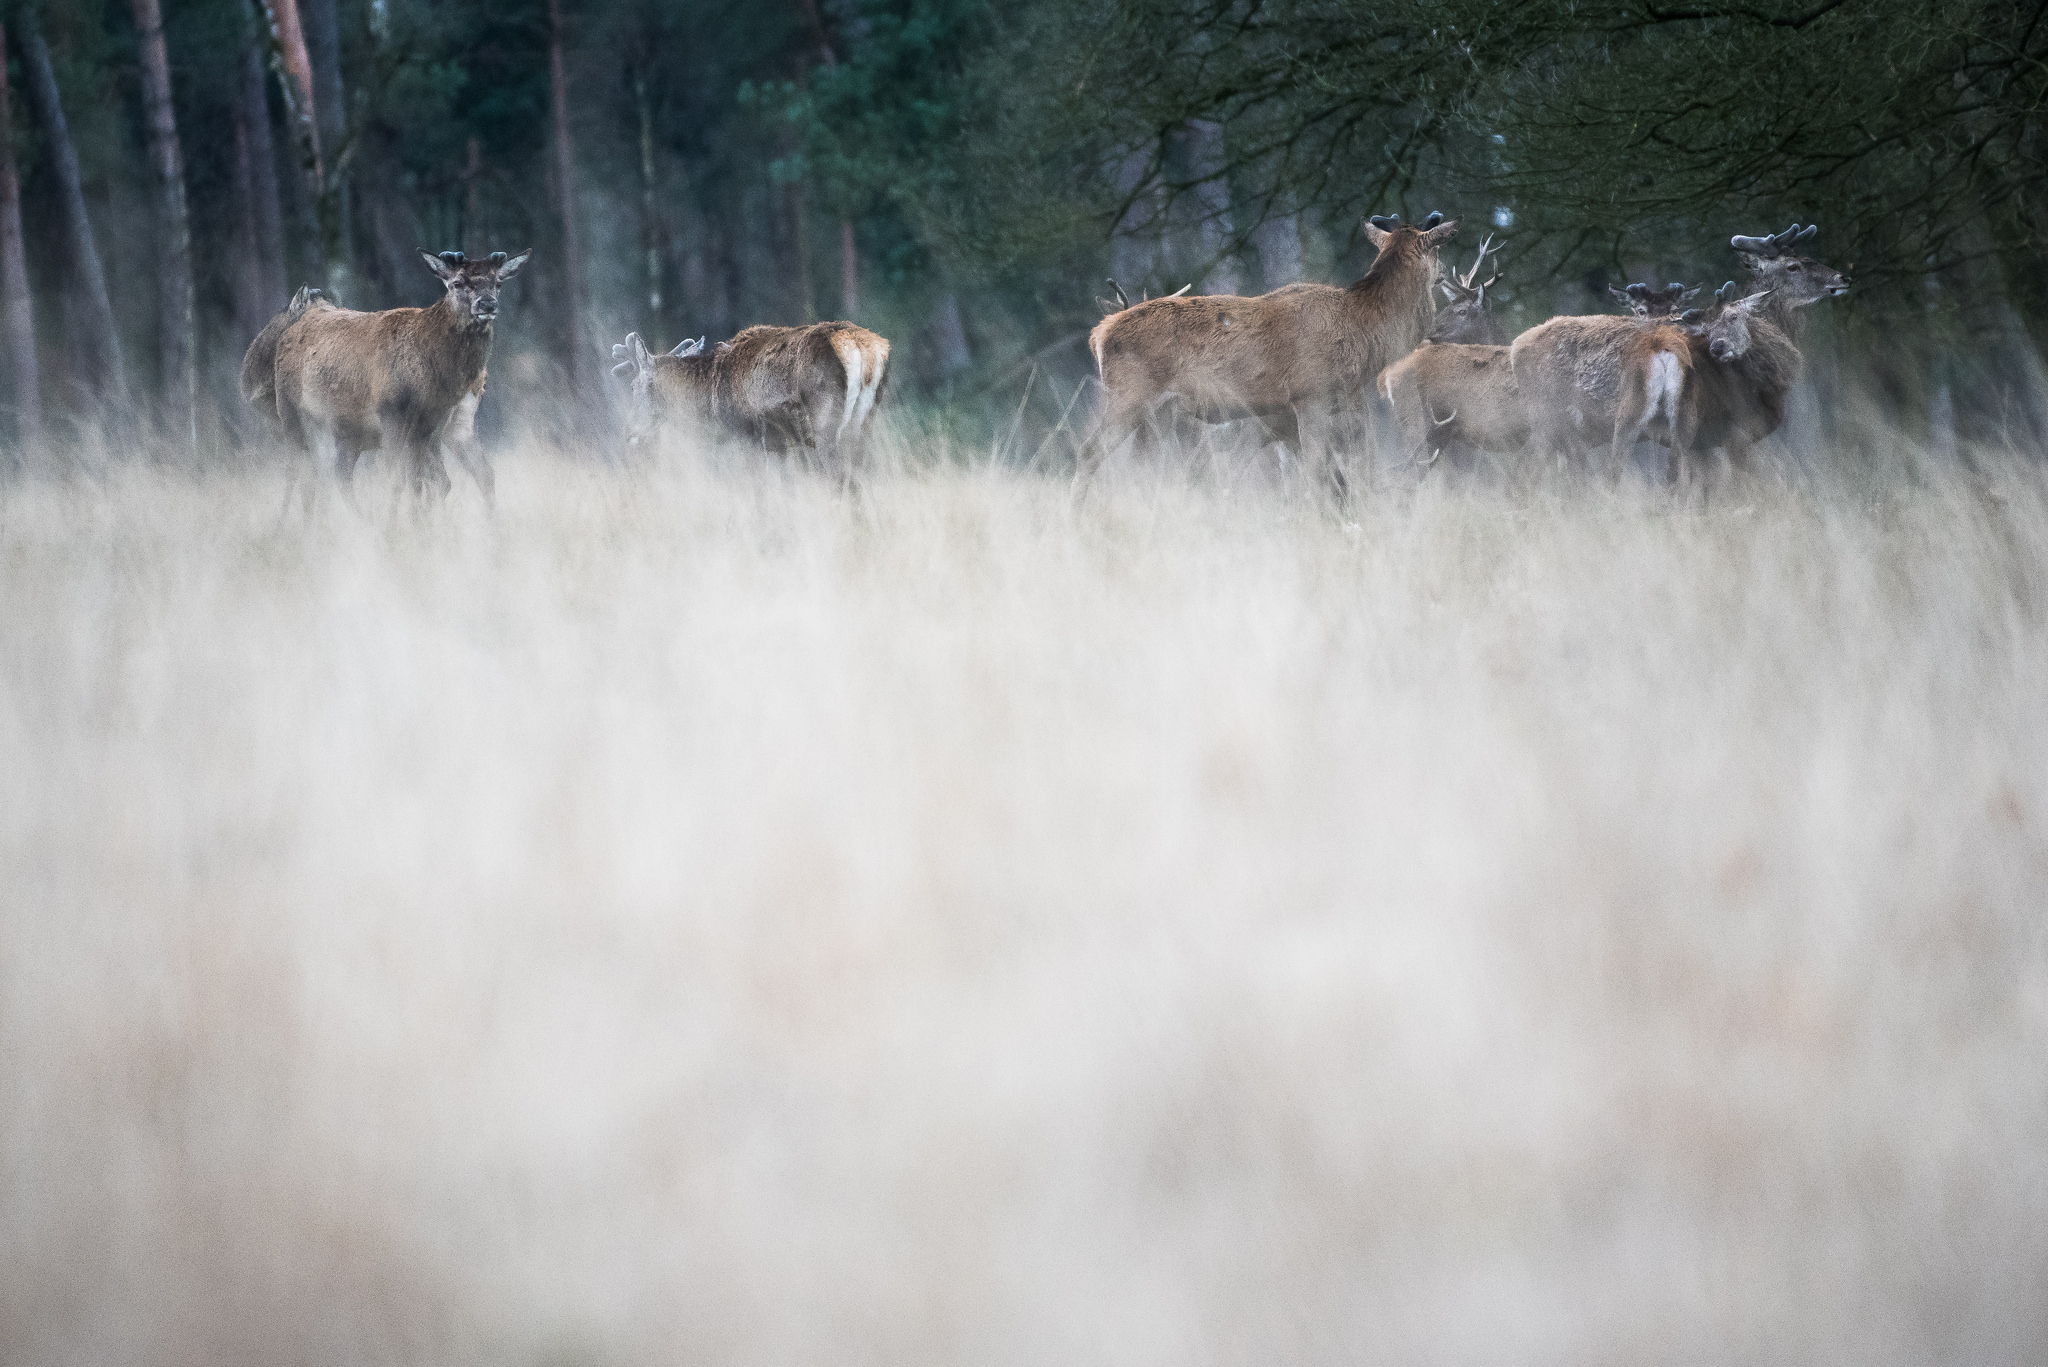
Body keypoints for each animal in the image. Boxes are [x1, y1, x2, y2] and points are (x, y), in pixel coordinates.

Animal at [264, 246, 528, 502]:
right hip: (291, 411)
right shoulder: (391, 411)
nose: (487, 304)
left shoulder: (429, 425)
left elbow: (418, 480)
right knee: (306, 472)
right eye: (457, 282)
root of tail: (290, 331)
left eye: (498, 282)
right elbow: (401, 478)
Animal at [610, 321, 892, 485]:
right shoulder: (779, 445)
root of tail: (862, 347)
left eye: (634, 386)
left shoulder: (749, 435)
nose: (630, 431)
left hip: (826, 423)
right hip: (865, 424)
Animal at [1073, 205, 1458, 500]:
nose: (1443, 276)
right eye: (1437, 252)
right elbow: (1317, 474)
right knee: (1088, 451)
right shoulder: (1309, 395)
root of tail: (1099, 333)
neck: (1365, 332)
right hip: (1131, 394)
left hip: (1158, 411)